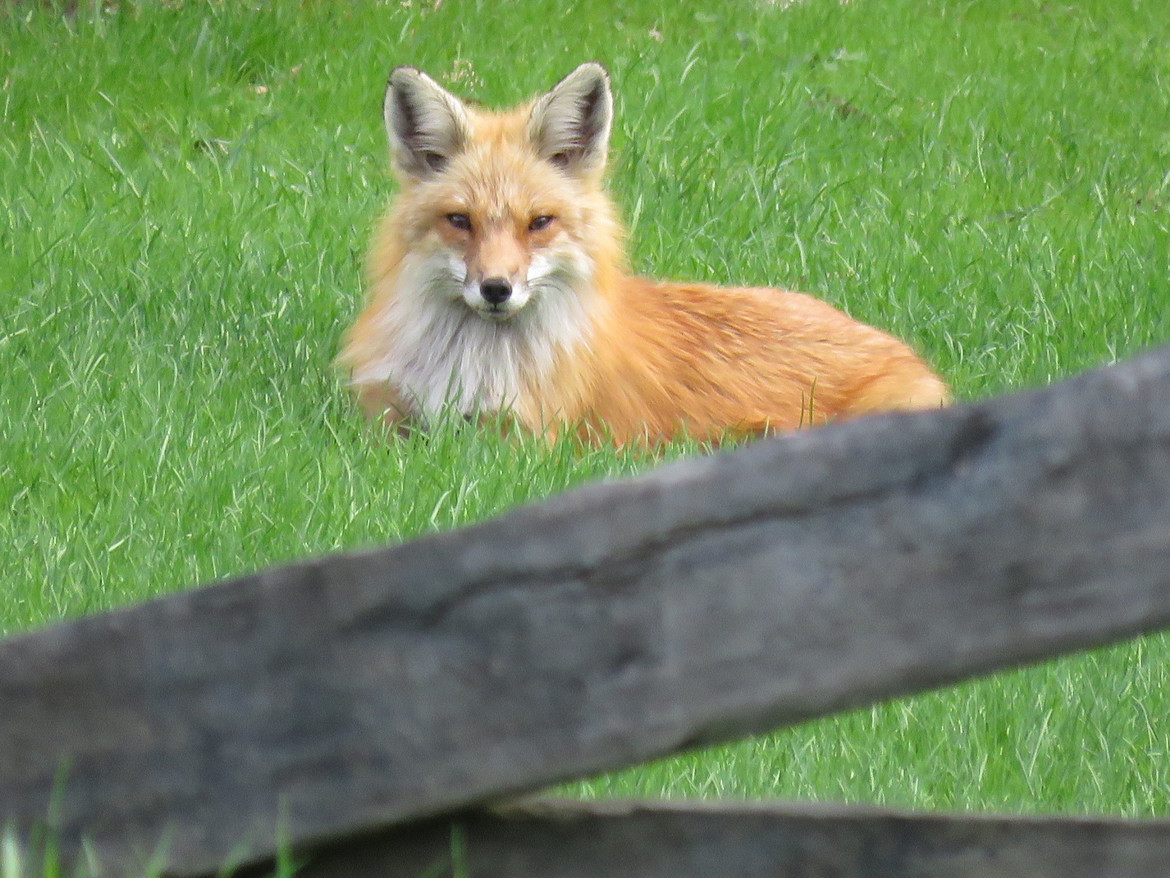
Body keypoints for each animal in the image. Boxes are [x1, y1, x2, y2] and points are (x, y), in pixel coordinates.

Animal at [338, 62, 948, 445]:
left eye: (539, 223)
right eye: (460, 221)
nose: (495, 289)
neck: (469, 363)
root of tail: (912, 358)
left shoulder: (523, 440)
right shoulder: (379, 415)